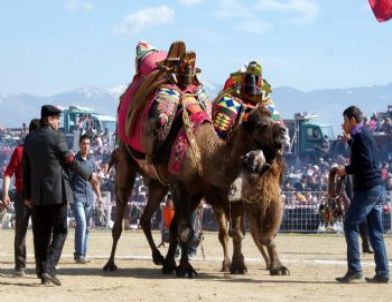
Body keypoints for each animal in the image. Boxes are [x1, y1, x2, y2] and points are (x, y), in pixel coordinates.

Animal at [102, 40, 284, 276]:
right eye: (262, 126)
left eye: (272, 118)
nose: (284, 132)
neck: (204, 150)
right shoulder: (180, 183)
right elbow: (185, 229)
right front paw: (186, 269)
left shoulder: (196, 188)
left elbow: (183, 227)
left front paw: (178, 266)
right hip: (125, 162)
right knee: (120, 214)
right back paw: (110, 264)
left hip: (159, 183)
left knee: (145, 218)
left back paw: (160, 259)